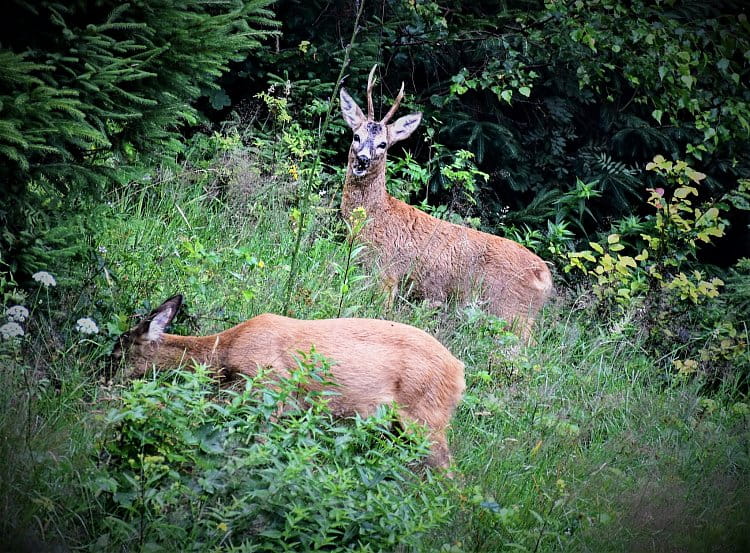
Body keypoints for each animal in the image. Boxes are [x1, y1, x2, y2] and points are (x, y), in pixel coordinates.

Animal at [112, 296, 468, 468]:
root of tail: (460, 371)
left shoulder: (270, 391)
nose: (108, 383)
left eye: (117, 352)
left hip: (425, 417)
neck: (226, 352)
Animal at [340, 67, 552, 338]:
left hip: (512, 312)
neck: (374, 216)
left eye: (383, 144)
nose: (363, 160)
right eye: (356, 136)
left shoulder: (388, 272)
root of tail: (544, 276)